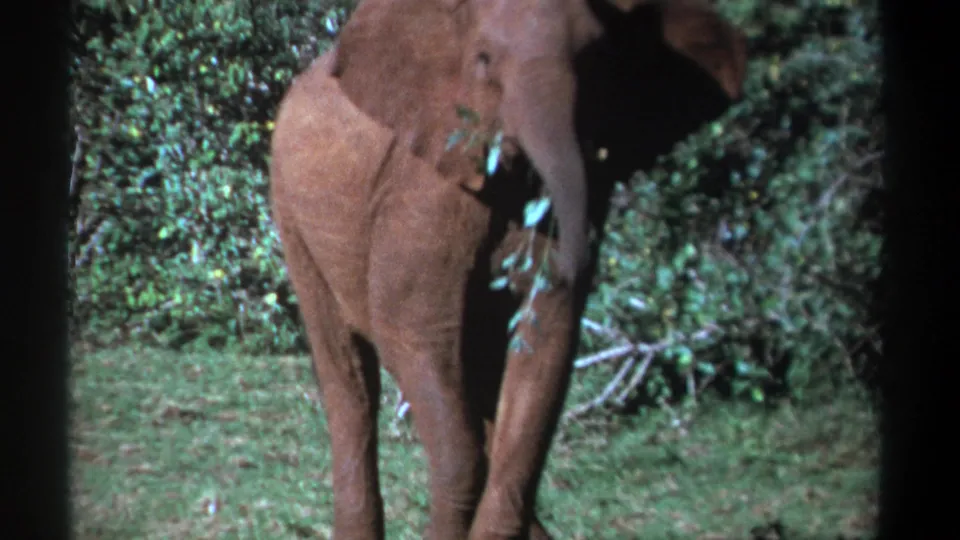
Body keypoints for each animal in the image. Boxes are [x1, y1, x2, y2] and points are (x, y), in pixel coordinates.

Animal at [268, 0, 747, 538]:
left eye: (597, 60)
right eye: (483, 61)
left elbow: (544, 346)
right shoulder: (423, 186)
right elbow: (410, 331)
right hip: (291, 209)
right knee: (350, 379)